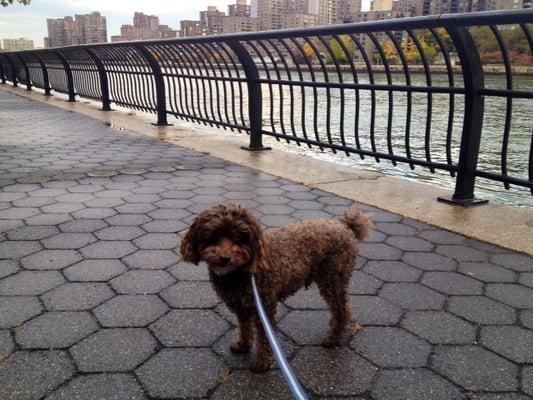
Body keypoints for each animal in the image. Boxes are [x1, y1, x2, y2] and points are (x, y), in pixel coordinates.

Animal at [179, 203, 370, 372]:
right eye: (212, 237)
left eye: (239, 238)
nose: (225, 258)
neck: (240, 274)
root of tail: (344, 225)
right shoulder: (241, 306)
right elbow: (245, 327)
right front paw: (243, 345)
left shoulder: (264, 305)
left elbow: (264, 338)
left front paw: (262, 363)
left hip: (333, 279)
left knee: (342, 310)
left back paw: (333, 338)